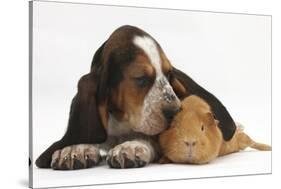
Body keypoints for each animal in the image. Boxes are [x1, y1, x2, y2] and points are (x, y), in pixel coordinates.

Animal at [35, 24, 236, 170]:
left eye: (169, 74)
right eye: (140, 78)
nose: (176, 112)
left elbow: (146, 137)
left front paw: (130, 147)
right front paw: (73, 149)